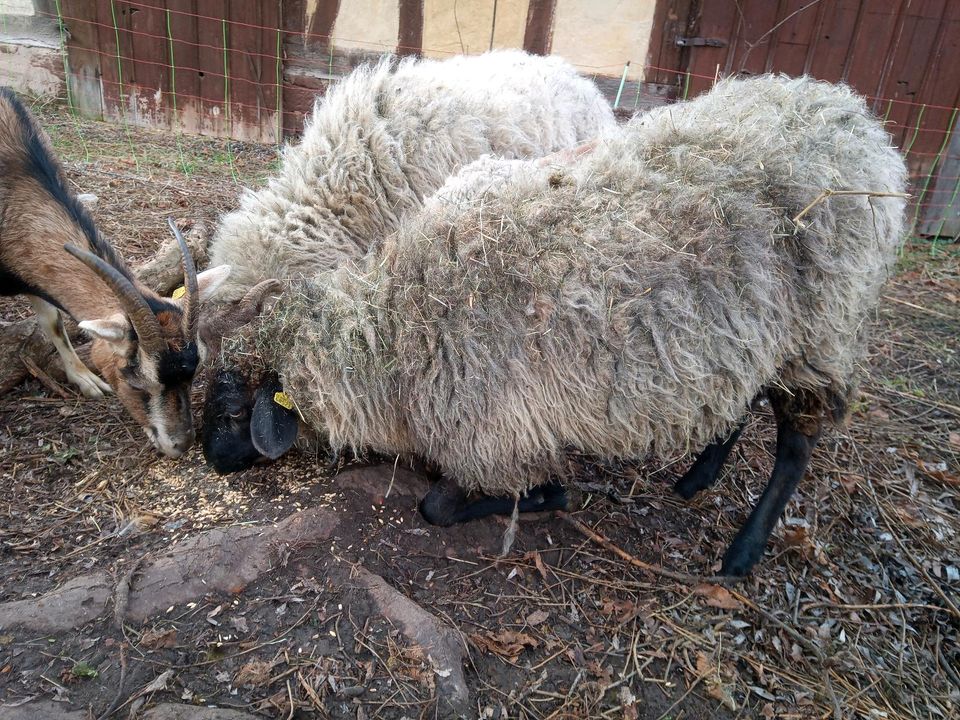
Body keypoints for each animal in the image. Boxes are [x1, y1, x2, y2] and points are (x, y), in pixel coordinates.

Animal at [201, 76, 908, 576]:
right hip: (752, 332)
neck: (396, 328)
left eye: (233, 407)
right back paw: (698, 475)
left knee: (795, 446)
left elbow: (440, 504)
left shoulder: (494, 434)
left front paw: (551, 495)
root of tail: (854, 118)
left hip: (824, 330)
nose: (209, 461)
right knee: (743, 391)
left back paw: (742, 553)